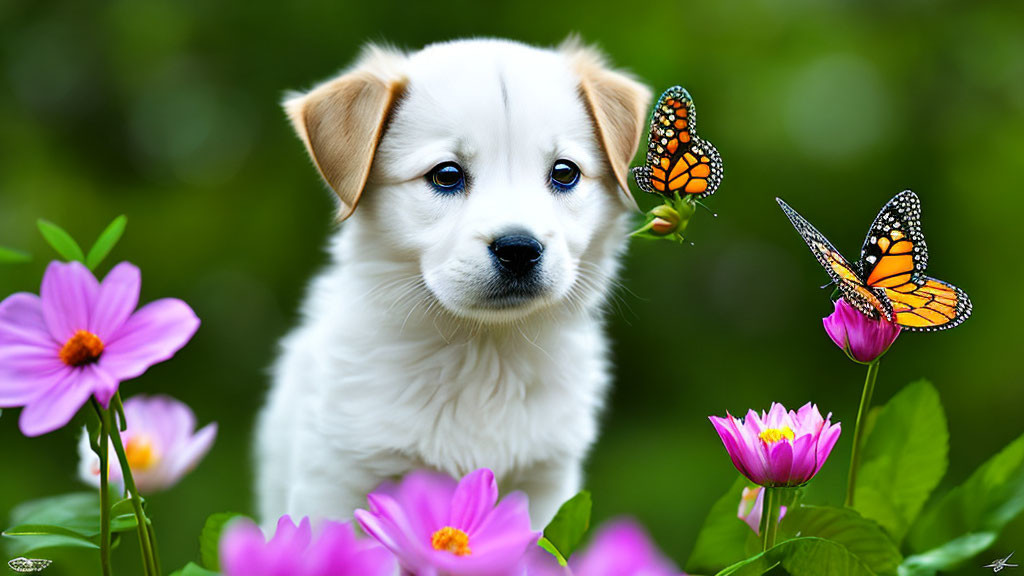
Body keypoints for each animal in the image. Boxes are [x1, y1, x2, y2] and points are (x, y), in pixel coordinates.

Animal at [260, 38, 651, 528]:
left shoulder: (546, 484)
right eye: (446, 175)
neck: (482, 353)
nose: (519, 248)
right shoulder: (335, 478)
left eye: (565, 173)